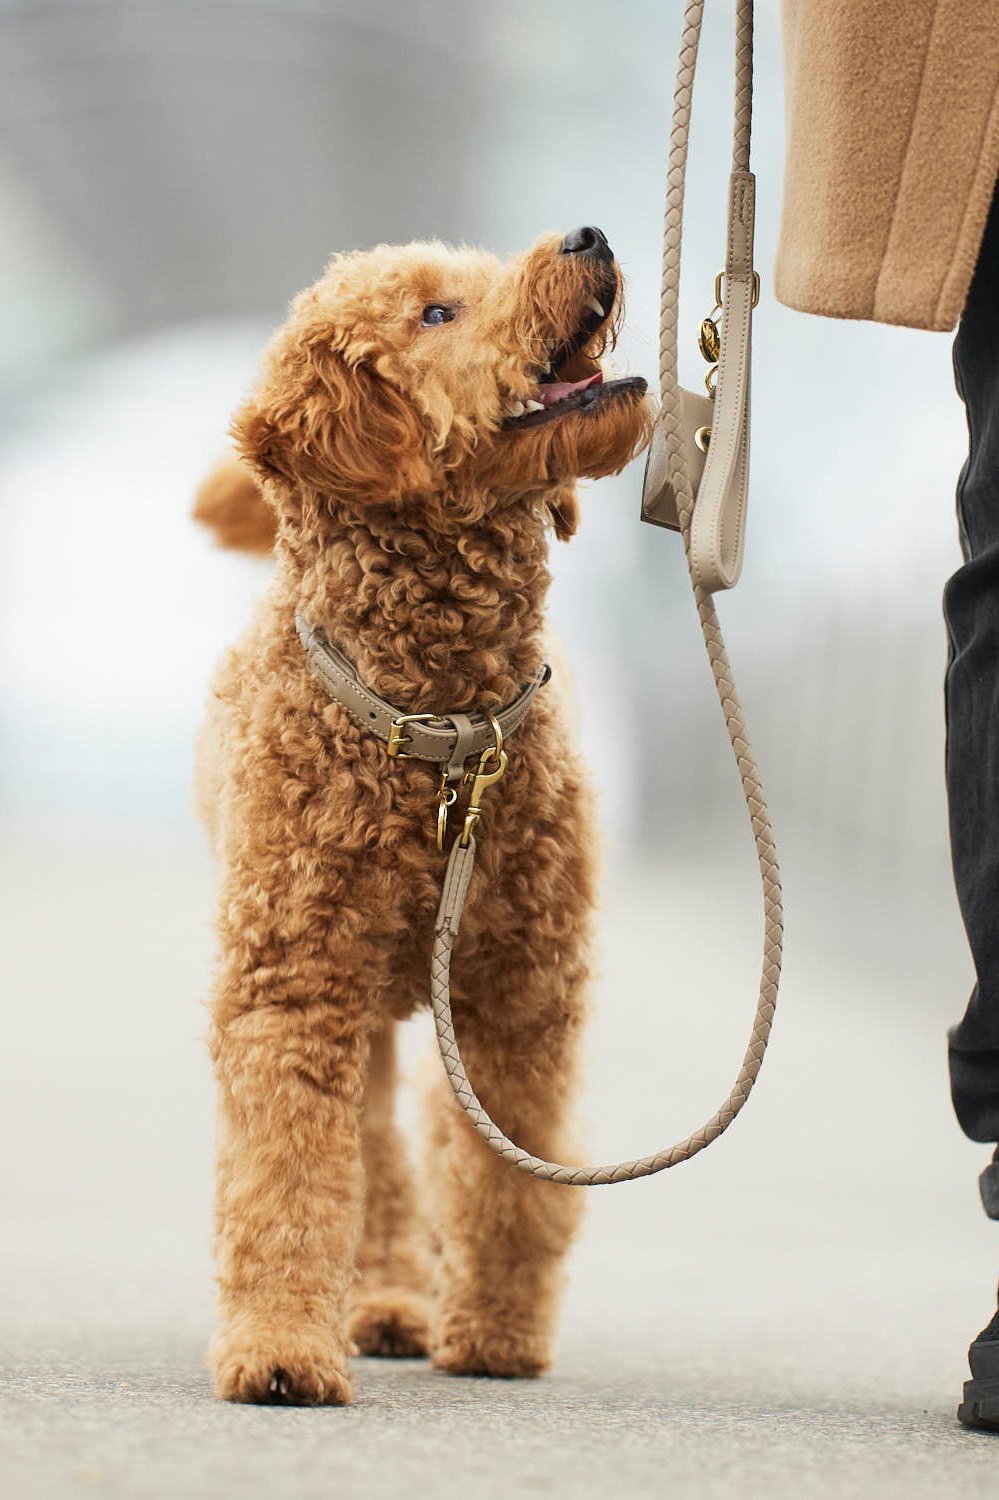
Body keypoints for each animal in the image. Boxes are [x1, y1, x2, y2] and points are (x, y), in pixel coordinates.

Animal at [192, 225, 654, 1404]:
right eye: (437, 314)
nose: (589, 236)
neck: (436, 726)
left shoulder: (519, 988)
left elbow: (508, 1180)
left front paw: (494, 1333)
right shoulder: (294, 987)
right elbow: (288, 1181)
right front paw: (280, 1351)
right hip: (357, 996)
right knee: (374, 1159)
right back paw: (388, 1300)